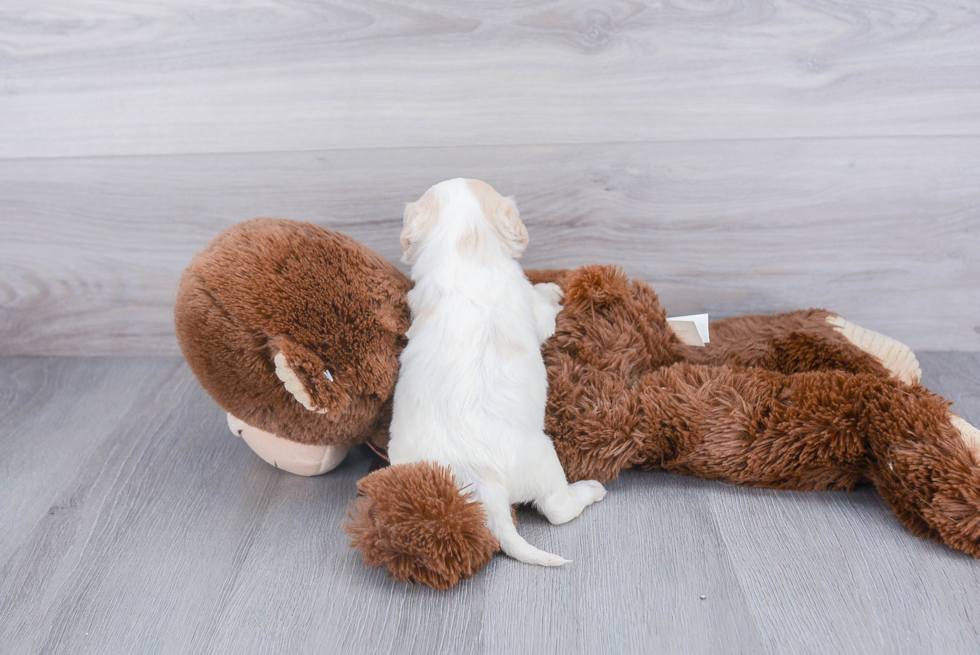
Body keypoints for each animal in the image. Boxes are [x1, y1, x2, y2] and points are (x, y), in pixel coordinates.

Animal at [388, 177, 604, 568]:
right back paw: (590, 489)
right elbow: (544, 311)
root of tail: (483, 481)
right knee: (557, 508)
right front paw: (551, 290)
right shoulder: (533, 310)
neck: (465, 249)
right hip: (544, 458)